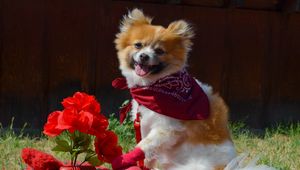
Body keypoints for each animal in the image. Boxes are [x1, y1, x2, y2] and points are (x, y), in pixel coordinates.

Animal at [111, 8, 276, 170]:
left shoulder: (167, 128)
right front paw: (145, 164)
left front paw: (126, 159)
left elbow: (144, 145)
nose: (144, 56)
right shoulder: (145, 123)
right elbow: (148, 151)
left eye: (159, 51)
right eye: (138, 45)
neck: (154, 88)